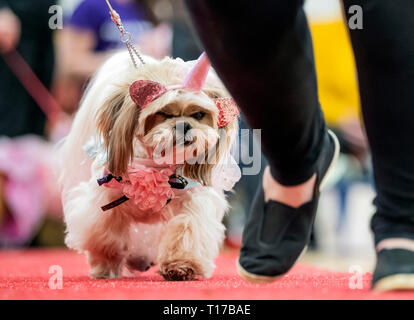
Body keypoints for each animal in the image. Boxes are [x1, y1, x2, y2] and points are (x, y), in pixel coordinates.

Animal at [58, 51, 239, 282]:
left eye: (198, 114)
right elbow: (107, 237)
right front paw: (106, 265)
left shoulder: (193, 199)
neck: (156, 166)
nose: (184, 125)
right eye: (163, 113)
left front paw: (181, 265)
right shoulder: (105, 203)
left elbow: (187, 226)